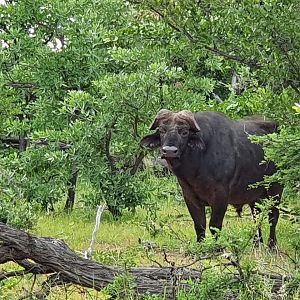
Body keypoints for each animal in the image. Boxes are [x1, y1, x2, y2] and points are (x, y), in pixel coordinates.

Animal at [142, 109, 282, 248]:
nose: (170, 151)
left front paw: (216, 247)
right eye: (162, 130)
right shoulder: (190, 197)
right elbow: (199, 225)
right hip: (255, 194)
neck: (197, 166)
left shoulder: (220, 197)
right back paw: (257, 243)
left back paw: (272, 245)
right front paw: (200, 245)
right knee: (256, 215)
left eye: (184, 132)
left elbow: (214, 225)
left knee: (273, 216)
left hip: (275, 188)